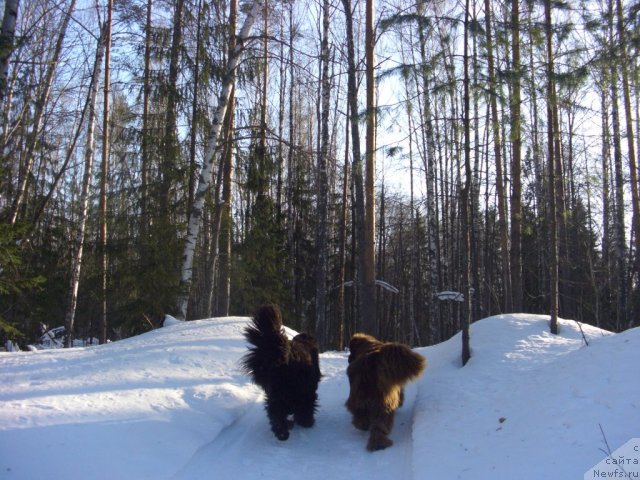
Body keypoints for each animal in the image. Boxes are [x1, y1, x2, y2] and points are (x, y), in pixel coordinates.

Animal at [240, 306, 320, 440]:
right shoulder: (308, 390)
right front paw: (306, 421)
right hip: (294, 391)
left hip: (275, 393)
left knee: (276, 412)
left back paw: (282, 431)